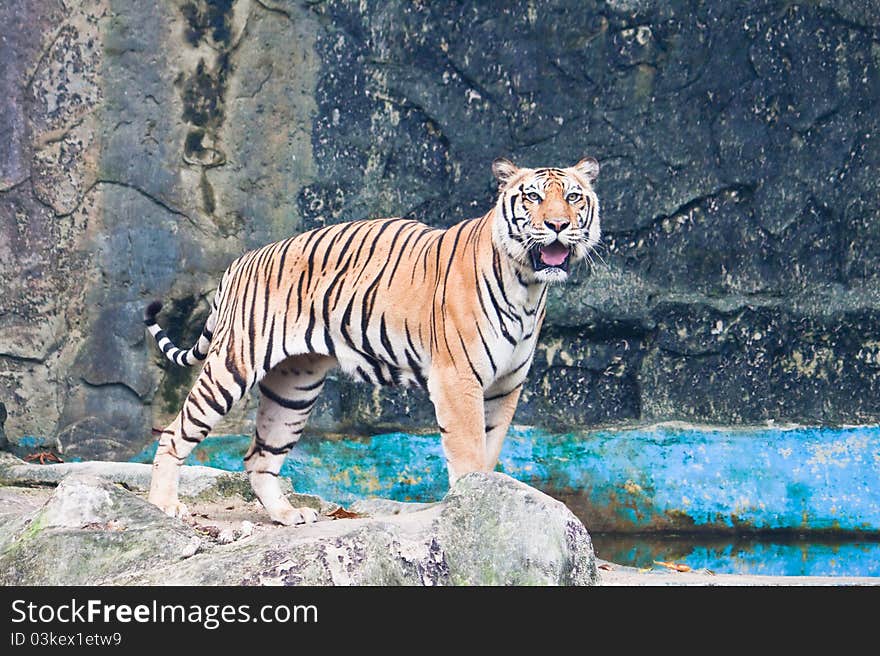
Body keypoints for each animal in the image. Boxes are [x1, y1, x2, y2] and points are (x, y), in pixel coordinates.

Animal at [146, 156, 600, 524]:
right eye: (532, 197)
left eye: (573, 197)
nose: (558, 225)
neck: (528, 287)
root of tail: (240, 261)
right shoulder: (458, 380)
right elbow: (469, 453)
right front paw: (474, 506)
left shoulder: (505, 386)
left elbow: (489, 449)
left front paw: (489, 500)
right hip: (233, 364)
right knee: (174, 434)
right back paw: (164, 505)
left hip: (294, 388)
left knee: (259, 457)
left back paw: (288, 515)